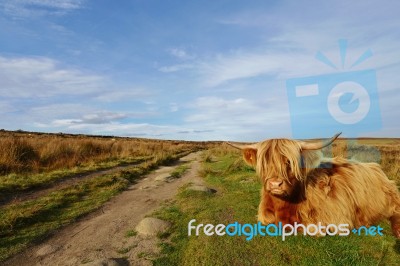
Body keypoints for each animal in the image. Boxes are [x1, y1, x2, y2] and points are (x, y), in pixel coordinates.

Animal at [228, 134, 400, 238]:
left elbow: (311, 228)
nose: (275, 184)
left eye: (289, 162)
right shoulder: (265, 214)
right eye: (264, 163)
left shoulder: (337, 219)